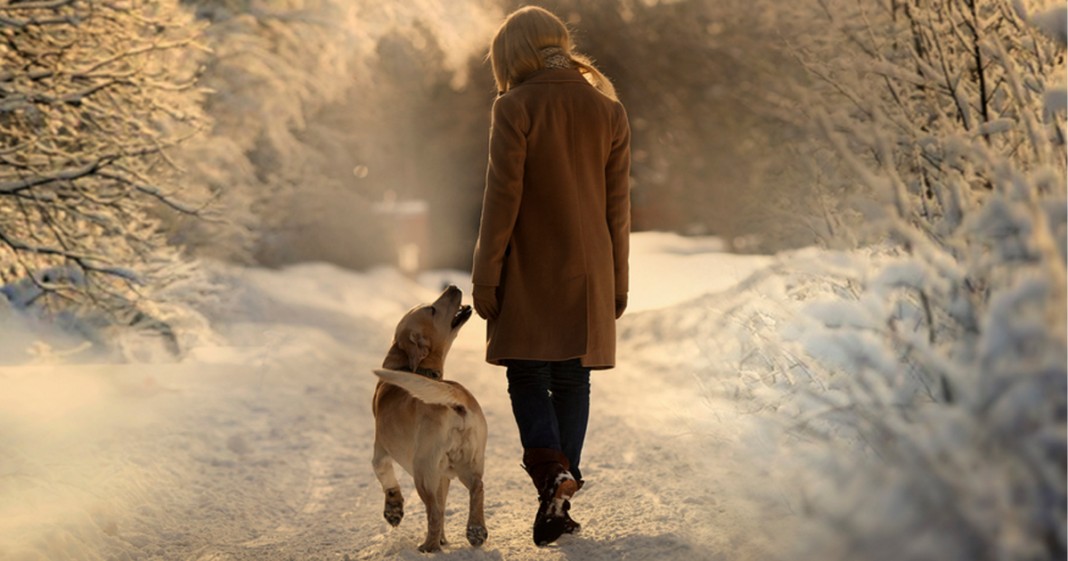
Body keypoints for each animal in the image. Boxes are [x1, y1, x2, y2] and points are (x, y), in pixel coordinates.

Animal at [367, 284, 484, 551]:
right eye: (432, 309)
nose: (454, 286)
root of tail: (456, 399)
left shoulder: (380, 453)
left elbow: (388, 481)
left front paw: (393, 511)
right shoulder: (444, 478)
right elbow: (443, 502)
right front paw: (444, 539)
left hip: (423, 471)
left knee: (434, 512)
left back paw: (428, 548)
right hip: (468, 463)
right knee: (476, 489)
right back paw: (475, 531)